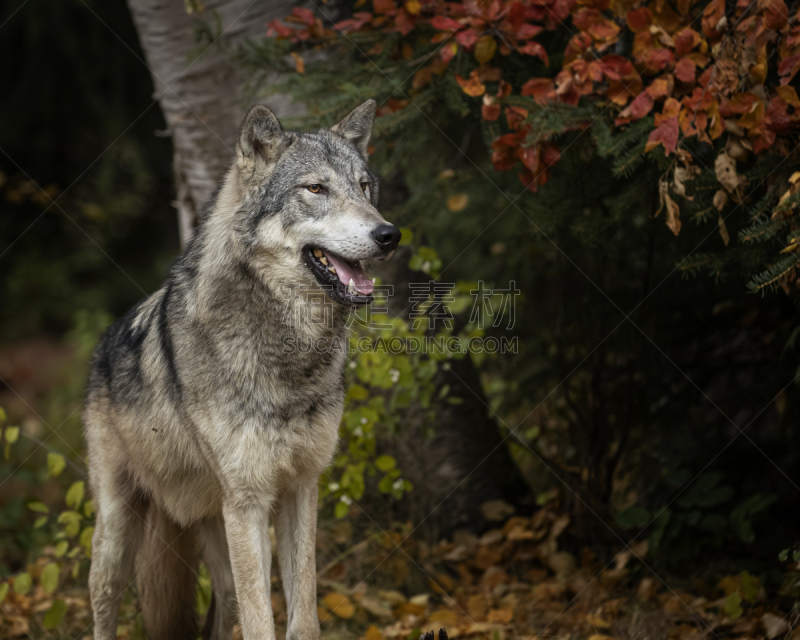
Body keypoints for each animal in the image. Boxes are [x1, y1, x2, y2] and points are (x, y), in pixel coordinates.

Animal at [83, 101, 400, 640]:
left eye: (364, 187)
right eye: (316, 189)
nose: (389, 235)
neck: (288, 353)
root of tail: (101, 347)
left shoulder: (301, 488)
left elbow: (303, 617)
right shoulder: (249, 501)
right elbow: (262, 622)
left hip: (217, 536)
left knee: (222, 610)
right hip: (118, 533)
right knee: (103, 604)